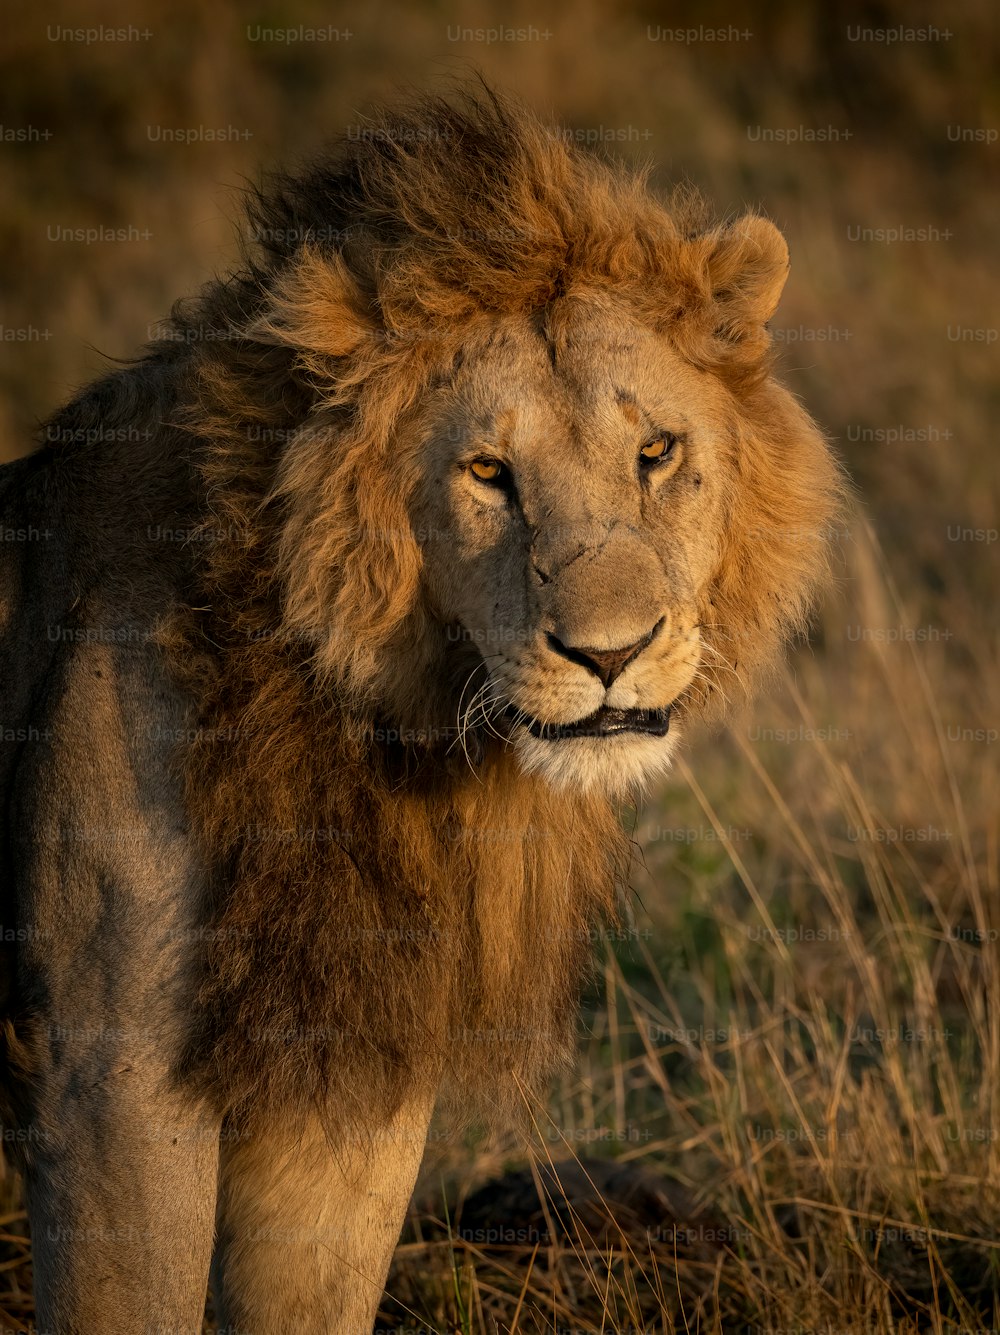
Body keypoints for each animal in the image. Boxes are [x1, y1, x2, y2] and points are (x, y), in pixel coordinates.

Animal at [0, 88, 843, 1329]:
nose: (611, 653)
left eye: (655, 452)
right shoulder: (106, 1073)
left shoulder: (357, 1058)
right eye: (488, 473)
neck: (381, 734)